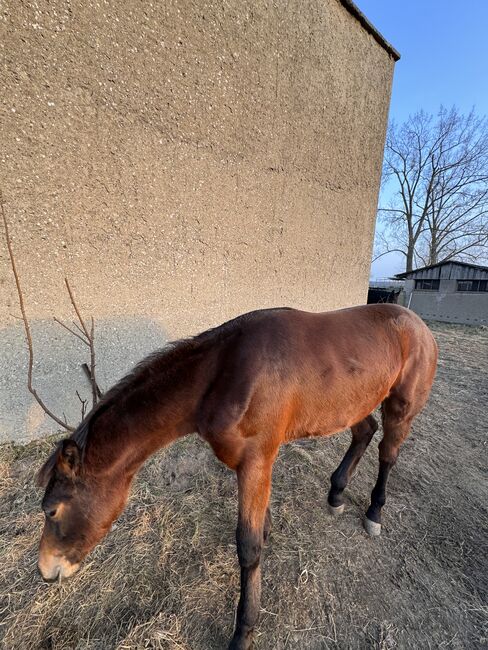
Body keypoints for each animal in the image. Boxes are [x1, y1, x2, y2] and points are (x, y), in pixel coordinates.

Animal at [36, 302, 436, 644]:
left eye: (52, 510)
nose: (45, 571)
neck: (224, 373)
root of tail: (418, 325)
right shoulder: (255, 464)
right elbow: (260, 528)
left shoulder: (256, 462)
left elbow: (248, 547)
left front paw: (244, 631)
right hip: (354, 404)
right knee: (364, 431)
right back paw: (336, 493)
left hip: (400, 406)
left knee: (387, 455)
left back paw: (374, 512)